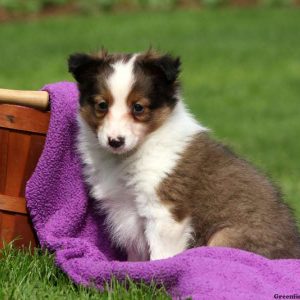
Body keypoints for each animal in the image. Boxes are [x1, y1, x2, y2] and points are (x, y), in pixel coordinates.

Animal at [68, 49, 300, 260]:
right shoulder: (125, 214)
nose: (115, 141)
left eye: (138, 107)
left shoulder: (165, 214)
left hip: (224, 237)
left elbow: (161, 257)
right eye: (102, 105)